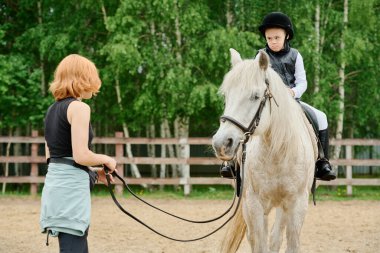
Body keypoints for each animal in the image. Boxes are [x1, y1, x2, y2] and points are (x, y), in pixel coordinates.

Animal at [212, 49, 316, 253]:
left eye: (255, 96)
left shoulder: (297, 204)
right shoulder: (254, 205)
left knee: (275, 238)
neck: (277, 153)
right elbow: (259, 244)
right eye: (226, 96)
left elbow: (290, 243)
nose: (221, 143)